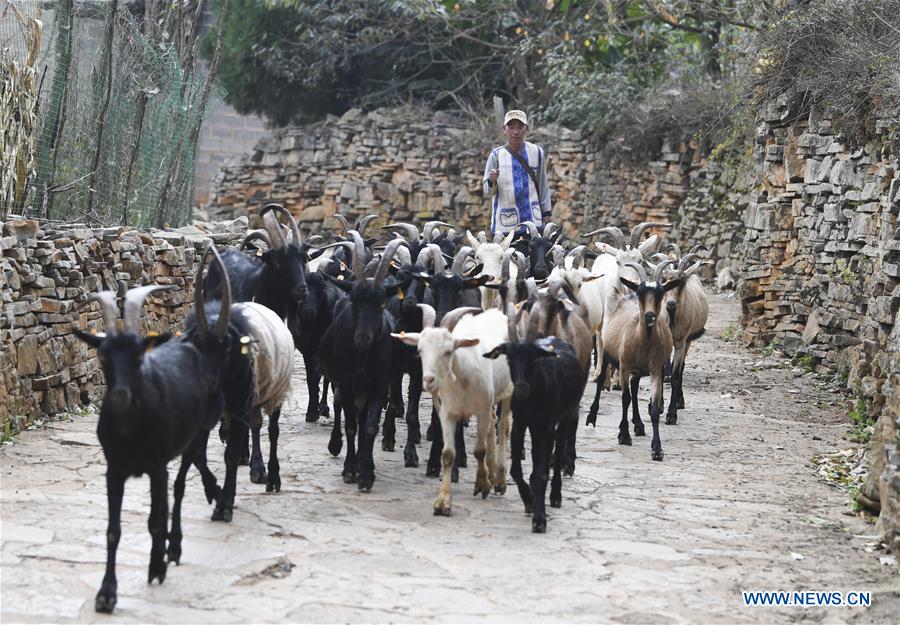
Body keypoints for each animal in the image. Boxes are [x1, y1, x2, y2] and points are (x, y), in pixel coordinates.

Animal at [318, 232, 410, 490]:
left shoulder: (378, 385)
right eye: (353, 302)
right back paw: (337, 446)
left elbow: (368, 427)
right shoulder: (347, 383)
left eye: (380, 304)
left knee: (363, 420)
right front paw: (350, 470)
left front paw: (366, 473)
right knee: (342, 407)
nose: (362, 338)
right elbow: (350, 425)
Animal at [482, 302, 588, 532]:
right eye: (509, 358)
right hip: (535, 427)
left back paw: (555, 495)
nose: (521, 388)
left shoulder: (547, 425)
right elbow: (516, 469)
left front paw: (540, 518)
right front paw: (529, 500)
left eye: (533, 358)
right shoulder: (521, 424)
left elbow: (542, 472)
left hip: (566, 415)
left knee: (558, 450)